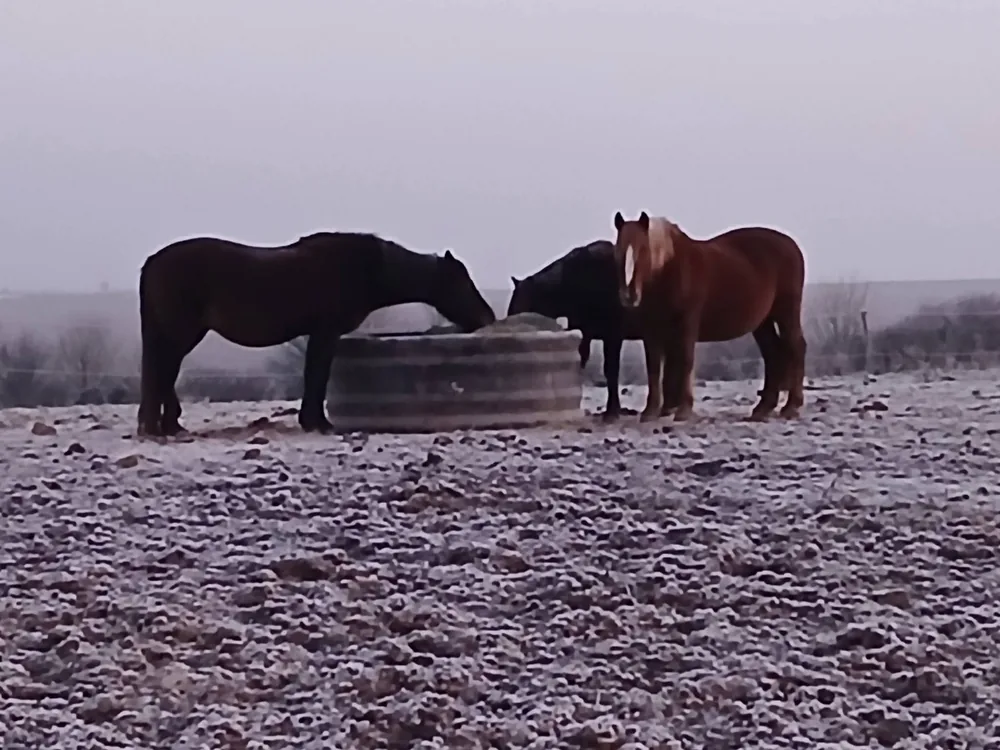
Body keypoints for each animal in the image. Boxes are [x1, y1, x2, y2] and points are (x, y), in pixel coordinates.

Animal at [137, 232, 496, 437]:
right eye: (462, 283)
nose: (487, 317)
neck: (366, 269)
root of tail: (153, 261)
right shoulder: (326, 333)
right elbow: (317, 376)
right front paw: (318, 423)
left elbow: (314, 376)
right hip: (181, 332)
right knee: (162, 372)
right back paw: (163, 427)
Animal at [612, 211, 807, 423]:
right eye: (619, 250)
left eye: (643, 249)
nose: (629, 295)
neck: (669, 269)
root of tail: (792, 246)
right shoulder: (652, 330)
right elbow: (654, 367)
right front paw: (651, 411)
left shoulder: (687, 324)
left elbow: (686, 360)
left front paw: (684, 409)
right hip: (764, 322)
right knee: (772, 353)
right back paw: (763, 408)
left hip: (786, 312)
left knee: (796, 346)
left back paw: (791, 406)